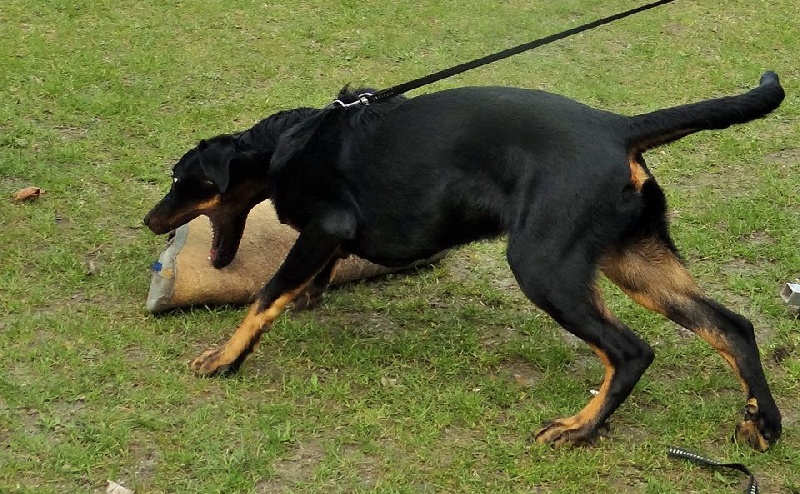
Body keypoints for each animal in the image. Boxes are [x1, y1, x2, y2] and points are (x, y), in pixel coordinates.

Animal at [147, 73, 784, 452]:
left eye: (181, 179)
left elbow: (264, 296)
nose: (151, 220)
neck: (289, 142)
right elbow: (304, 281)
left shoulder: (328, 224)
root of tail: (619, 128)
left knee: (631, 351)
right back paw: (764, 422)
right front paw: (308, 297)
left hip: (545, 266)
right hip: (635, 259)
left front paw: (224, 358)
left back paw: (579, 429)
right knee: (732, 326)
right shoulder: (329, 237)